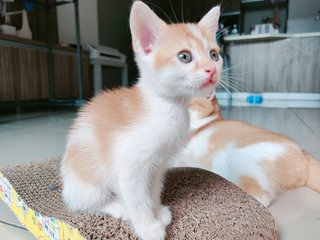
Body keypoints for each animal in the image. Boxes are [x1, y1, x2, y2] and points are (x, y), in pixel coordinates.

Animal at [61, 1, 224, 240]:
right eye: (184, 57)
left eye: (213, 55)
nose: (211, 70)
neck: (168, 106)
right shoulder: (129, 164)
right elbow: (137, 198)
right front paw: (148, 226)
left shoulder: (158, 164)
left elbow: (153, 189)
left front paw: (157, 211)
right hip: (87, 184)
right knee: (84, 202)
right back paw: (117, 206)